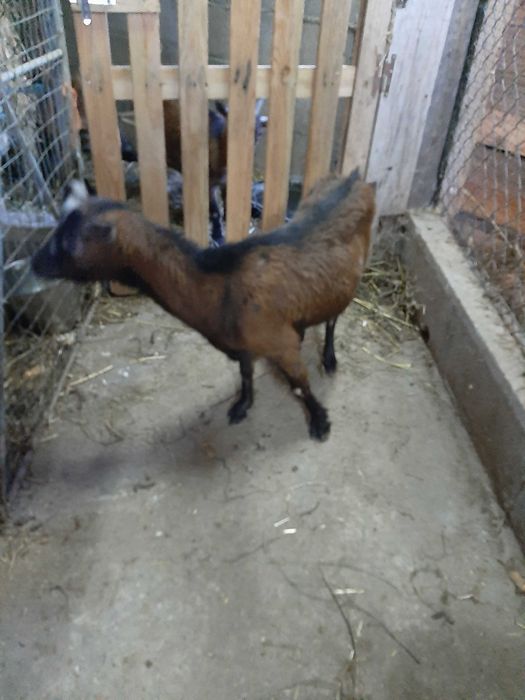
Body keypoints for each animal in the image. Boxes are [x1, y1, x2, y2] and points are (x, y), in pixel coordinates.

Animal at [32, 171, 375, 440]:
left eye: (67, 245)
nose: (34, 264)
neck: (219, 284)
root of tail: (356, 177)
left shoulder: (280, 344)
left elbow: (300, 385)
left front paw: (320, 422)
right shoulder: (244, 344)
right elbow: (246, 374)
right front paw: (242, 406)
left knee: (333, 318)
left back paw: (329, 358)